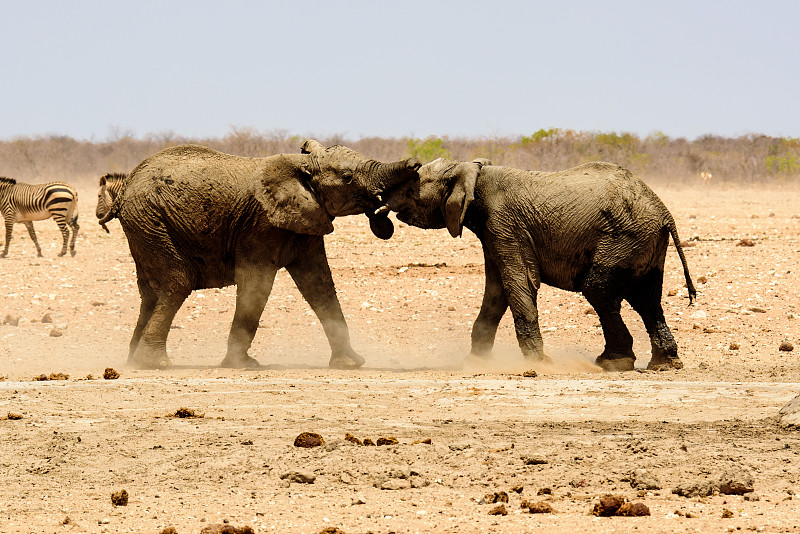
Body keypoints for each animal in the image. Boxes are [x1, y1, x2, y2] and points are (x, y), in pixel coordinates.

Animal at [98, 140, 418, 370]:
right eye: (348, 177)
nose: (415, 163)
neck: (300, 165)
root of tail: (126, 187)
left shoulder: (306, 220)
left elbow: (319, 285)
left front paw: (350, 364)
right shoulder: (260, 225)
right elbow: (256, 284)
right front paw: (243, 365)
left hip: (146, 227)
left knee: (151, 294)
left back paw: (133, 362)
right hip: (152, 222)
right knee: (177, 283)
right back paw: (155, 363)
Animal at [384, 157, 696, 370]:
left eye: (412, 189)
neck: (472, 172)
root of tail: (664, 212)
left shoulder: (505, 225)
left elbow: (519, 283)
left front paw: (538, 364)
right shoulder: (494, 232)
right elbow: (496, 292)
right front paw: (475, 363)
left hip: (624, 238)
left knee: (600, 290)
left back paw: (614, 363)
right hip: (646, 245)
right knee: (648, 300)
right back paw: (665, 365)